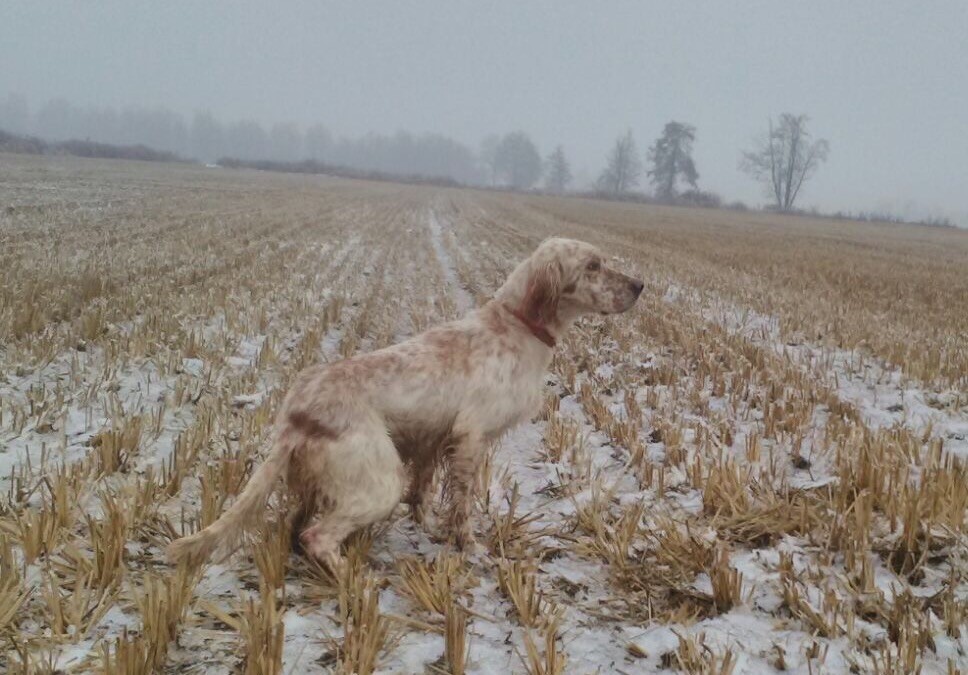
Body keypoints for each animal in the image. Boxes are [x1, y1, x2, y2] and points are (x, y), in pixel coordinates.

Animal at [168, 235, 644, 568]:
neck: (516, 326)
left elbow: (424, 491)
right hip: (380, 478)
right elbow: (462, 504)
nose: (640, 284)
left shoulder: (434, 438)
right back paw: (356, 586)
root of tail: (297, 409)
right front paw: (469, 547)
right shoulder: (471, 436)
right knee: (318, 536)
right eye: (594, 265)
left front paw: (428, 528)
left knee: (296, 526)